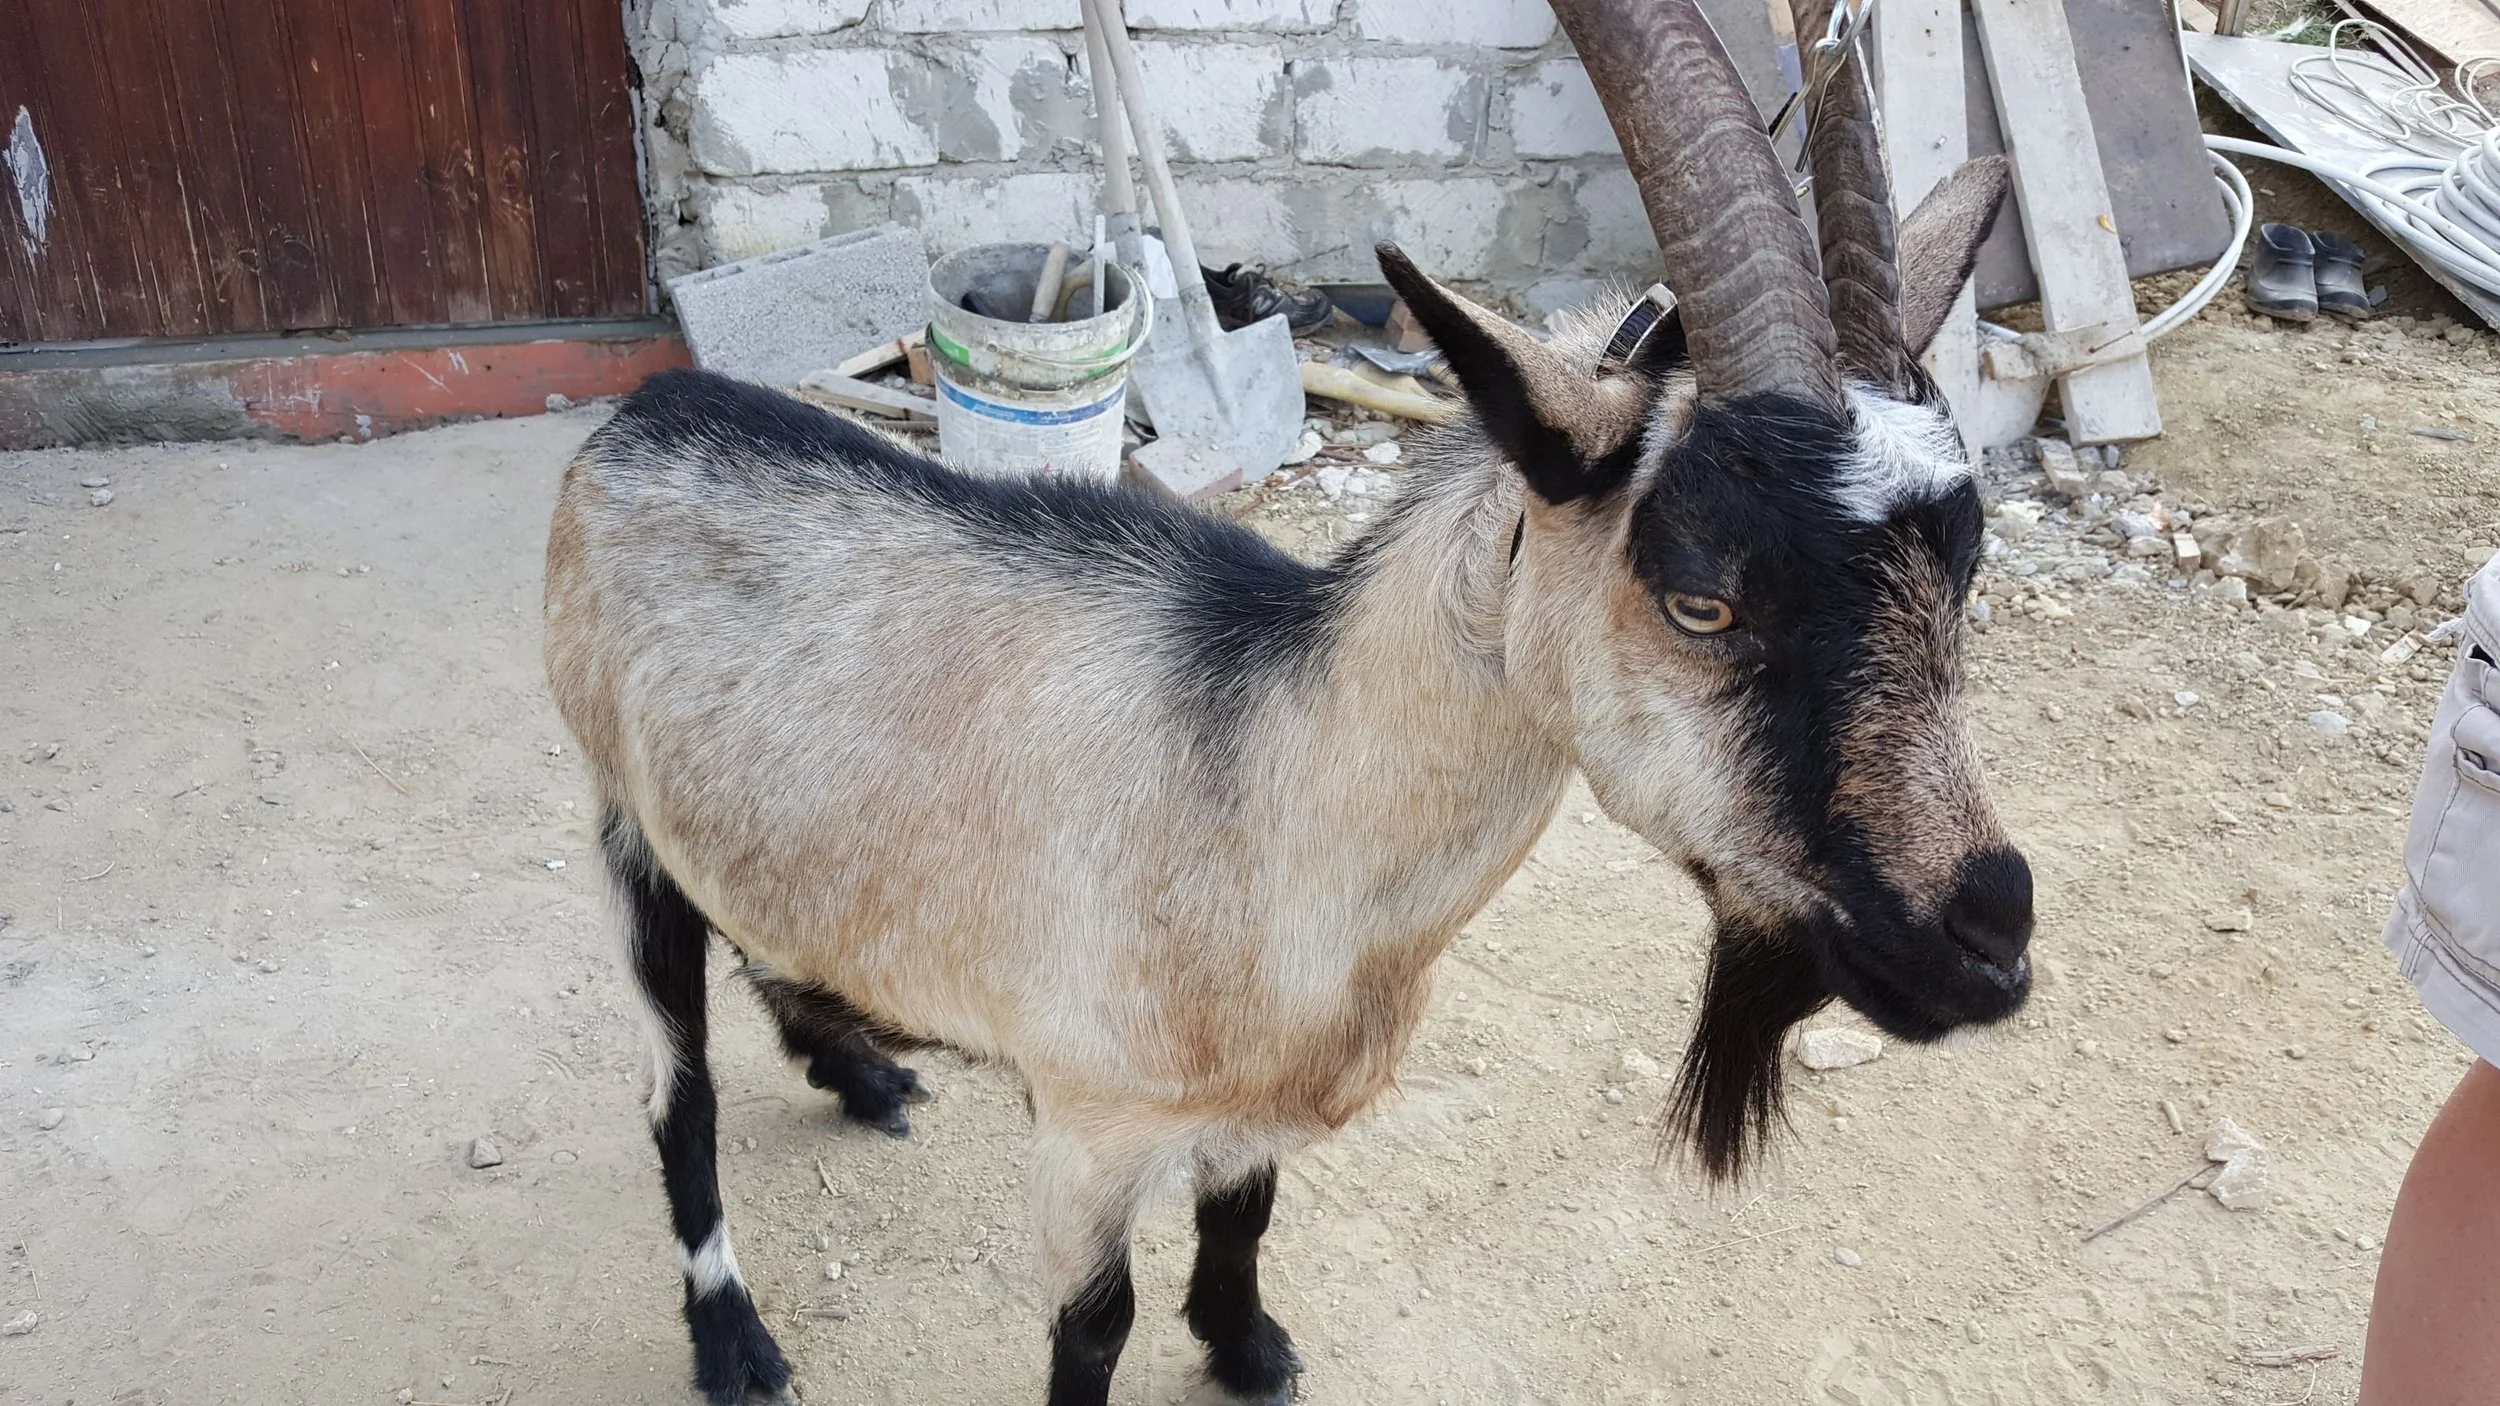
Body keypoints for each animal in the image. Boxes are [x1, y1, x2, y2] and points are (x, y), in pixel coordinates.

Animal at [543, 2, 2031, 1401]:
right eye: (1702, 598)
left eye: (1964, 572)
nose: (1990, 939)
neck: (1277, 791)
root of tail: (639, 417)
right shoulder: (1087, 1121)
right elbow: (1093, 1328)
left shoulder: (1255, 1101)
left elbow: (1247, 1210)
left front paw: (1245, 1343)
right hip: (618, 810)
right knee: (676, 1092)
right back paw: (734, 1335)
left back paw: (855, 1066)